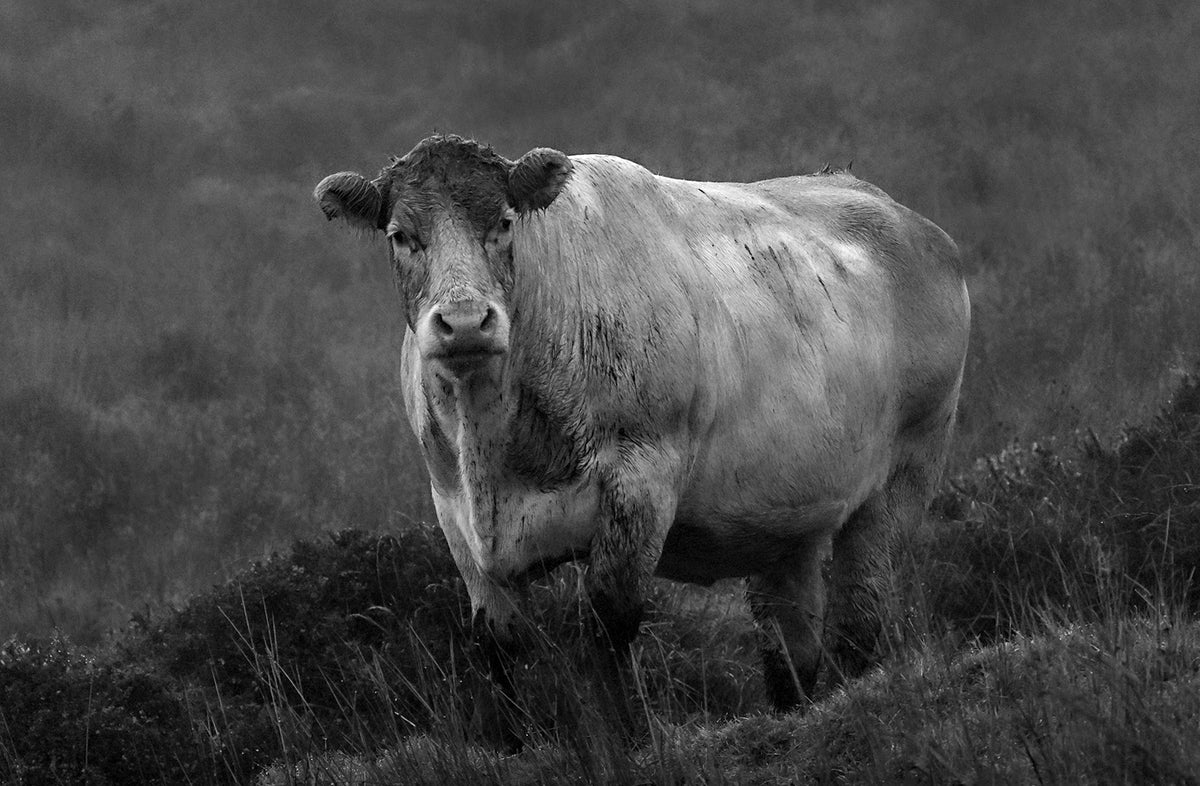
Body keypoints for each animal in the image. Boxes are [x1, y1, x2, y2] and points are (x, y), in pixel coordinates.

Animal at [315, 134, 970, 722]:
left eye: (503, 222)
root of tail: (902, 216)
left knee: (862, 621)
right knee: (790, 646)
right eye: (401, 236)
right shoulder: (458, 522)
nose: (467, 321)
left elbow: (609, 626)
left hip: (904, 476)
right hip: (786, 519)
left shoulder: (640, 481)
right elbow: (498, 652)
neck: (493, 455)